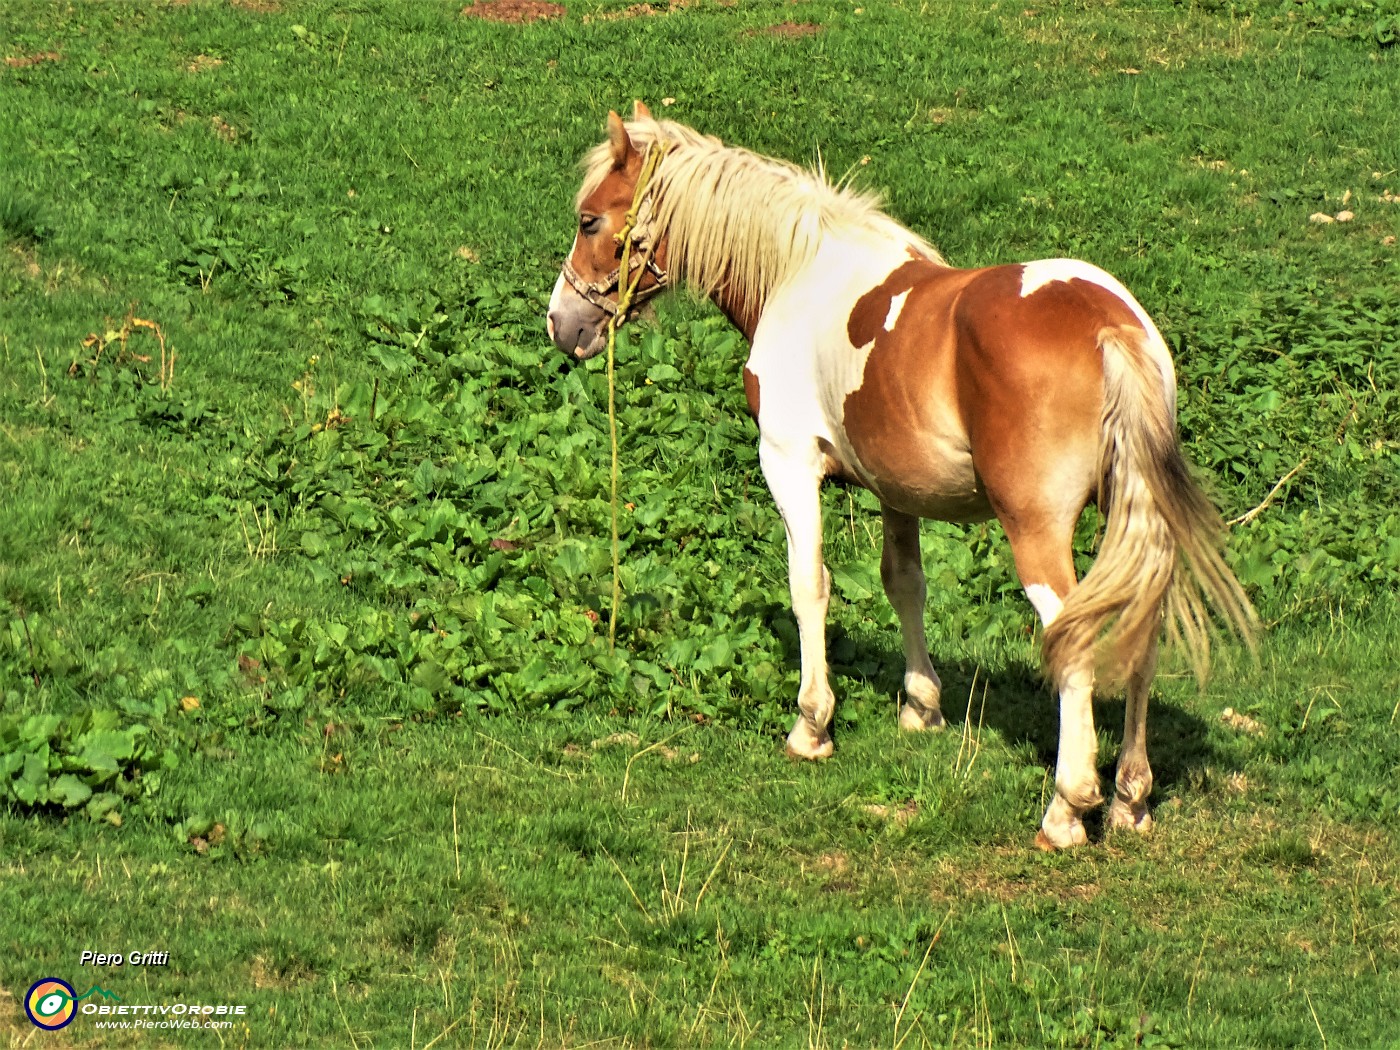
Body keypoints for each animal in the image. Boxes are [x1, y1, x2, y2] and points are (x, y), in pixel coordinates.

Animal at [546, 102, 1260, 851]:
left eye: (590, 220)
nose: (562, 324)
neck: (802, 274)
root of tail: (1108, 326)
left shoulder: (789, 462)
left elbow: (810, 586)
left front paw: (812, 727)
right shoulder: (899, 490)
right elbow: (905, 584)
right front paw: (922, 707)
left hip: (1036, 531)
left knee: (1074, 639)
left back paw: (1068, 809)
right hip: (1134, 520)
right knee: (1140, 634)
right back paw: (1129, 798)